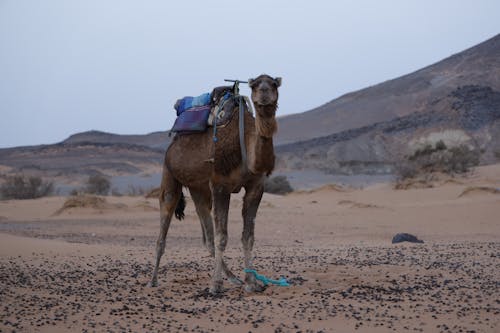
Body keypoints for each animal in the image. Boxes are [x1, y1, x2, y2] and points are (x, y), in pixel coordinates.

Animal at [148, 74, 282, 292]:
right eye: (254, 85)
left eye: (273, 84)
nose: (264, 93)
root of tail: (173, 142)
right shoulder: (220, 185)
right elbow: (222, 236)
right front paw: (215, 285)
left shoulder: (256, 187)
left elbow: (248, 236)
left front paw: (251, 282)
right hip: (169, 173)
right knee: (164, 226)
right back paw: (153, 280)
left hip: (199, 188)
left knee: (207, 237)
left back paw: (234, 278)